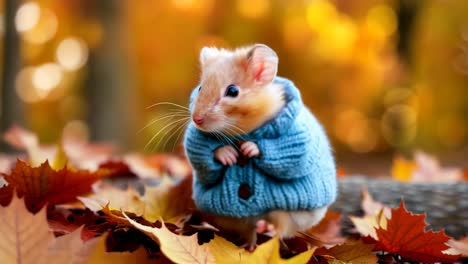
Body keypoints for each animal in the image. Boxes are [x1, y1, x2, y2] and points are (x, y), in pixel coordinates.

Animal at [185, 43, 338, 250]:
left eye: (232, 91)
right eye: (200, 87)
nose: (197, 119)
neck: (243, 128)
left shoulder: (297, 140)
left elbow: (289, 155)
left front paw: (249, 149)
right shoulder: (197, 142)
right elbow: (205, 152)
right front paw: (229, 156)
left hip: (288, 211)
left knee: (280, 228)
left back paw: (266, 230)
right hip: (238, 218)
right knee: (249, 230)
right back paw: (248, 246)